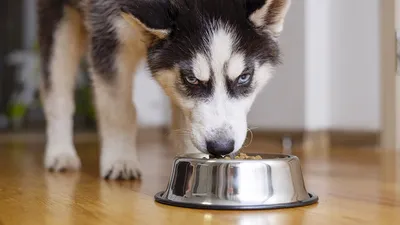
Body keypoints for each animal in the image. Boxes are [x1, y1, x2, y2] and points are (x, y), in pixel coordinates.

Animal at [36, 0, 290, 179]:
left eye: (244, 77)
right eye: (191, 79)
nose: (221, 146)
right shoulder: (109, 34)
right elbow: (118, 110)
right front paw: (120, 159)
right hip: (61, 26)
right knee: (57, 91)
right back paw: (60, 153)